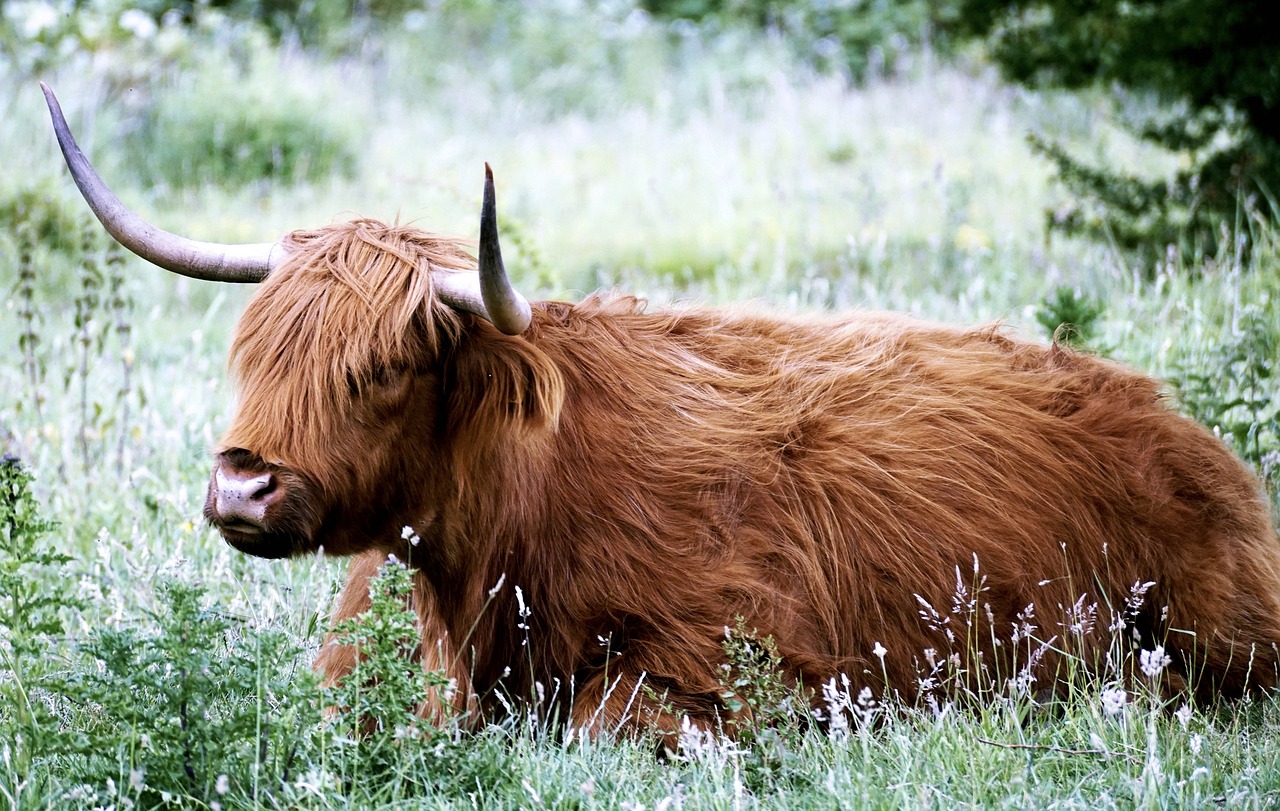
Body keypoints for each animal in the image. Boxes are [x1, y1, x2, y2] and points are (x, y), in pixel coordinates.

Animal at [42, 85, 1280, 736]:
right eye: (253, 349)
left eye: (385, 366)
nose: (242, 484)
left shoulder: (730, 669)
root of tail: (1181, 430)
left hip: (1221, 637)